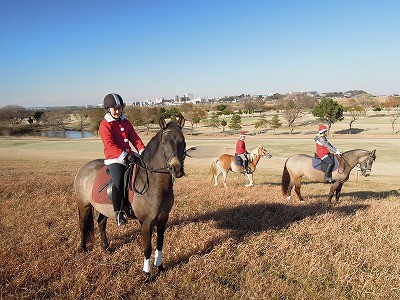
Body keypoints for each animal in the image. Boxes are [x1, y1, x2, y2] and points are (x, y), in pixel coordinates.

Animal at [73, 116, 186, 278]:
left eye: (183, 141)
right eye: (164, 143)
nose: (176, 169)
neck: (153, 182)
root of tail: (84, 168)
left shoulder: (163, 220)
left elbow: (160, 245)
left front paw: (160, 267)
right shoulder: (146, 223)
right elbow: (147, 249)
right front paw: (147, 274)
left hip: (103, 208)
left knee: (101, 223)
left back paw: (106, 248)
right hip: (84, 205)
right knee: (82, 225)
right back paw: (83, 248)